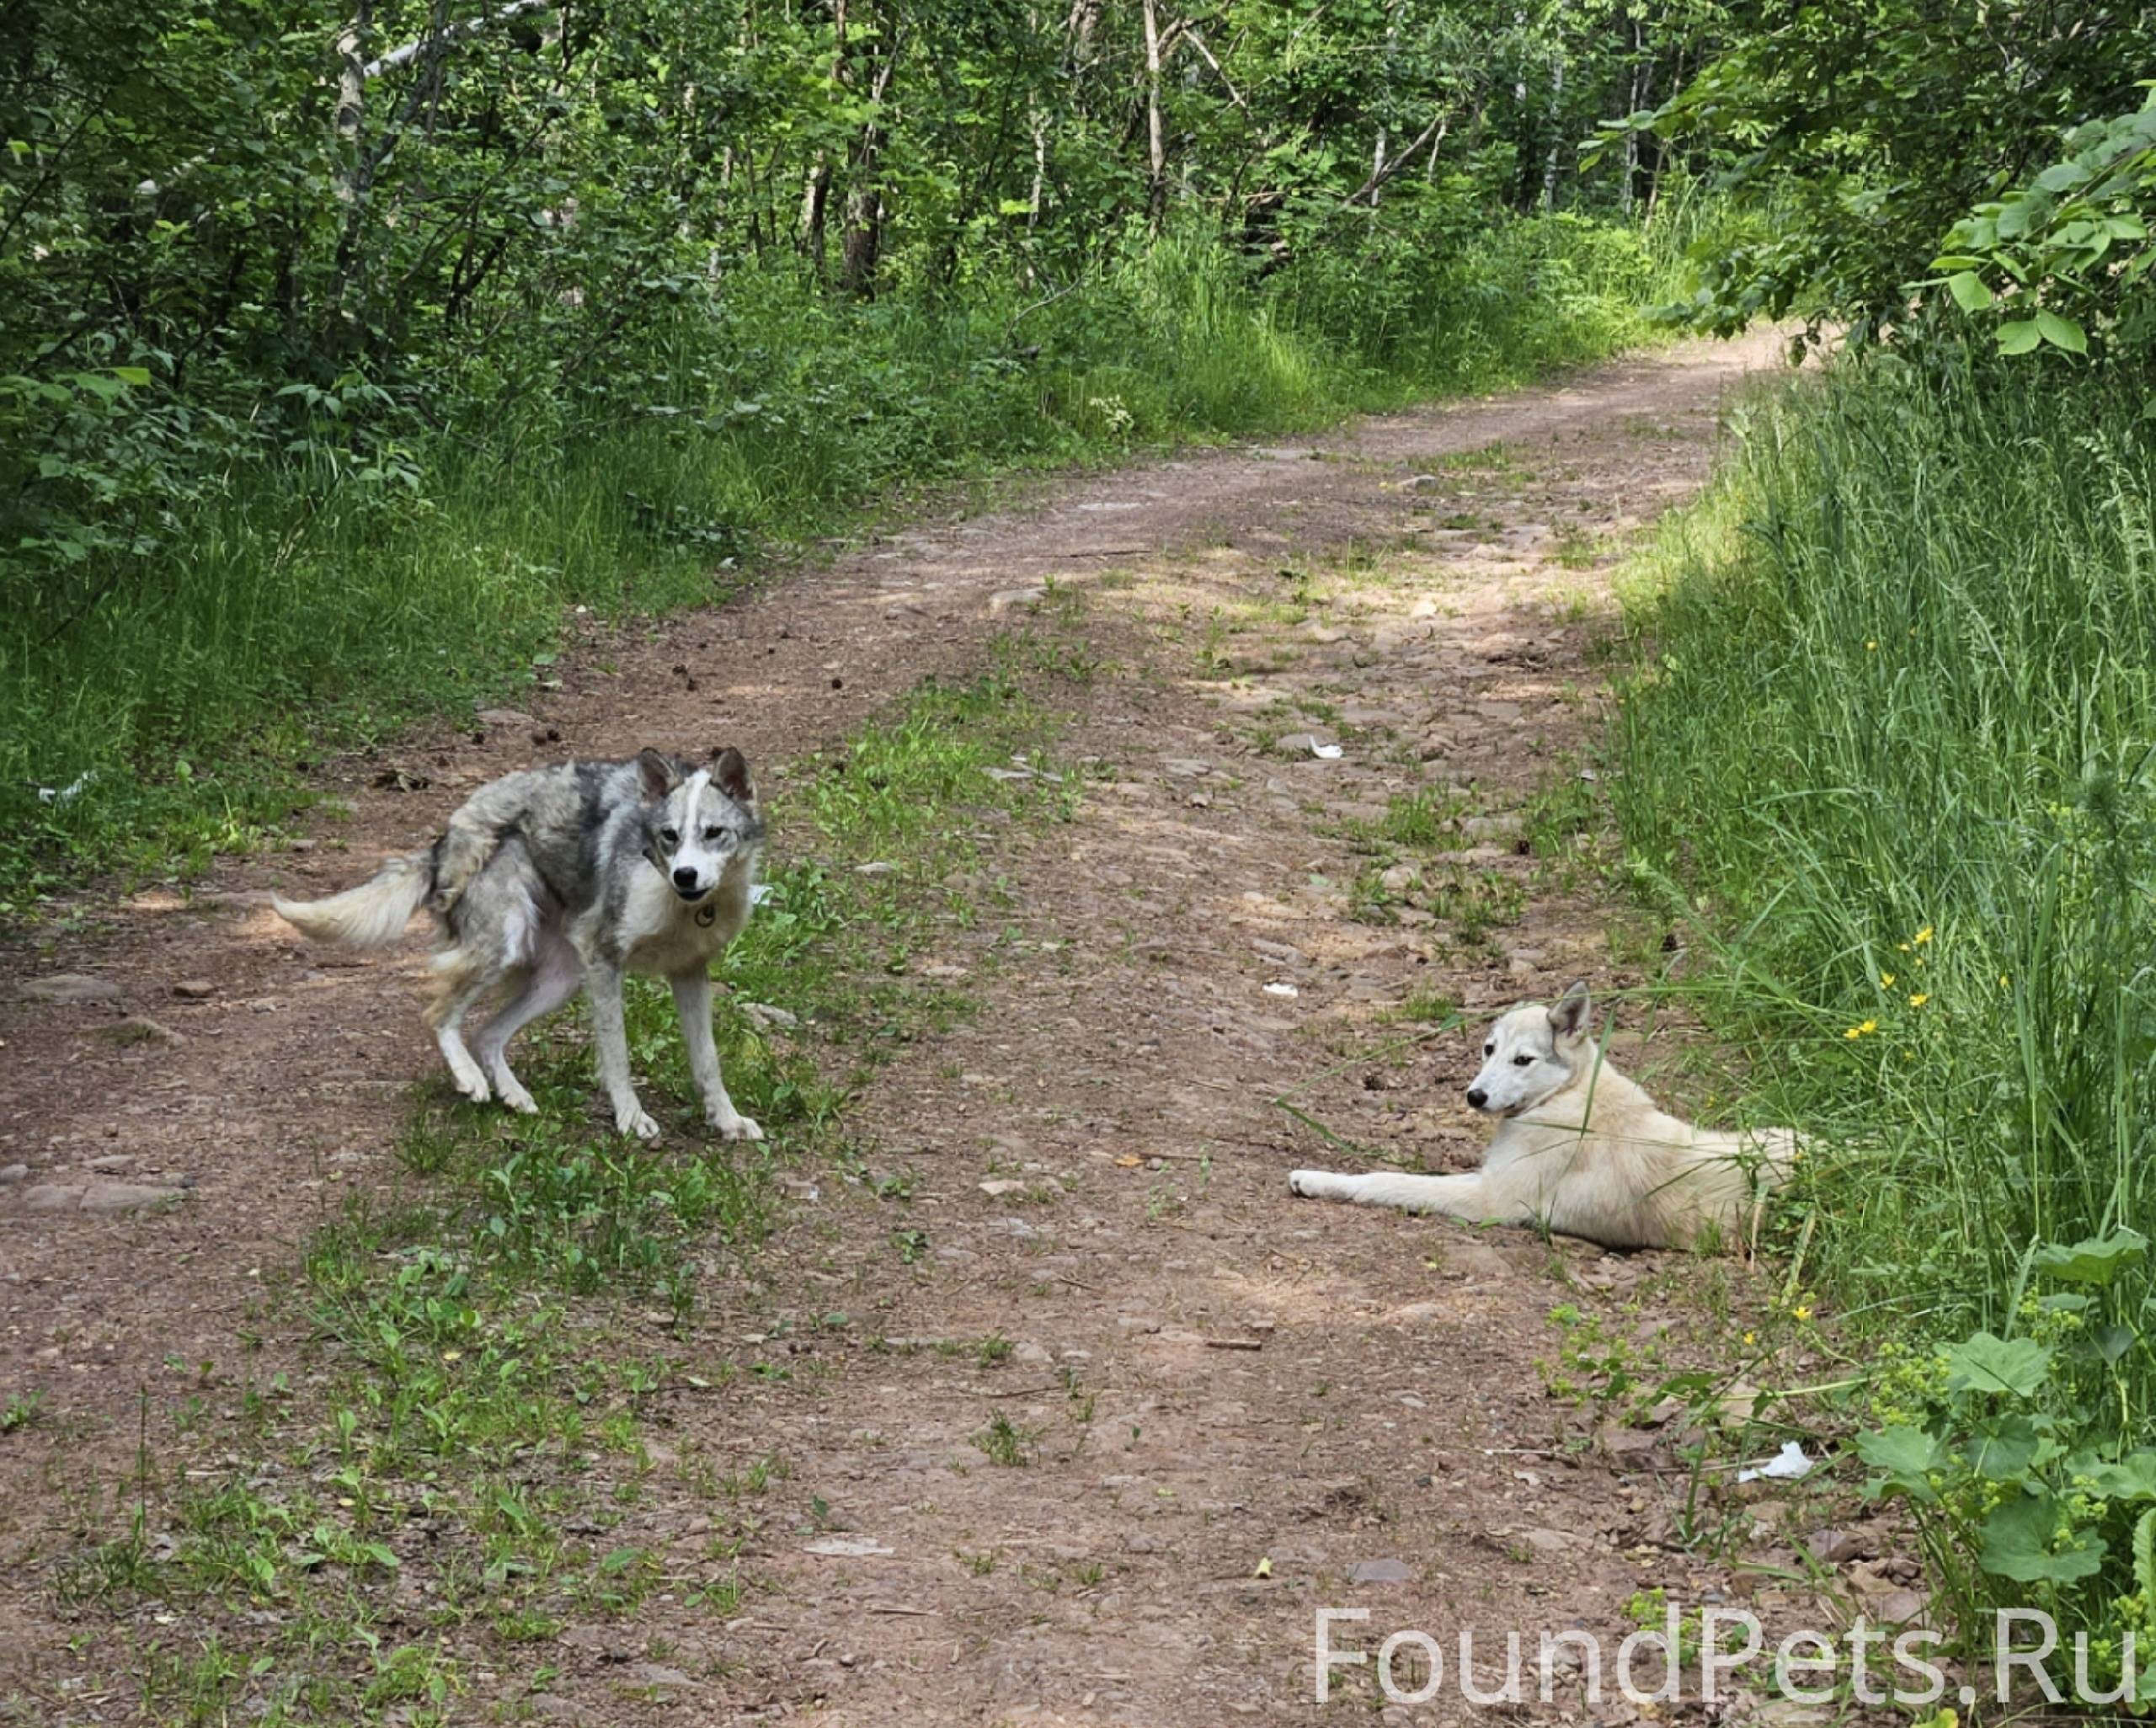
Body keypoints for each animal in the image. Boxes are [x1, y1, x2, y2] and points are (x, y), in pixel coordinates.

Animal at [275, 737, 767, 1128]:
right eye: (669, 836)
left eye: (714, 833)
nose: (685, 875)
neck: (679, 901)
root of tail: (446, 837)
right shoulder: (605, 960)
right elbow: (618, 1056)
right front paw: (630, 1118)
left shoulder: (689, 974)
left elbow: (708, 1062)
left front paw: (727, 1121)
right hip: (508, 948)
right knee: (439, 1015)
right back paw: (470, 1078)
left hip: (560, 980)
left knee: (487, 1035)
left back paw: (511, 1093)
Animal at [1284, 978, 1793, 1249]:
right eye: (1488, 1050)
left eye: (1524, 1060)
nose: (1474, 1097)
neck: (1566, 1095)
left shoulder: (1490, 1200)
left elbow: (1389, 1180)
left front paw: (1319, 1180)